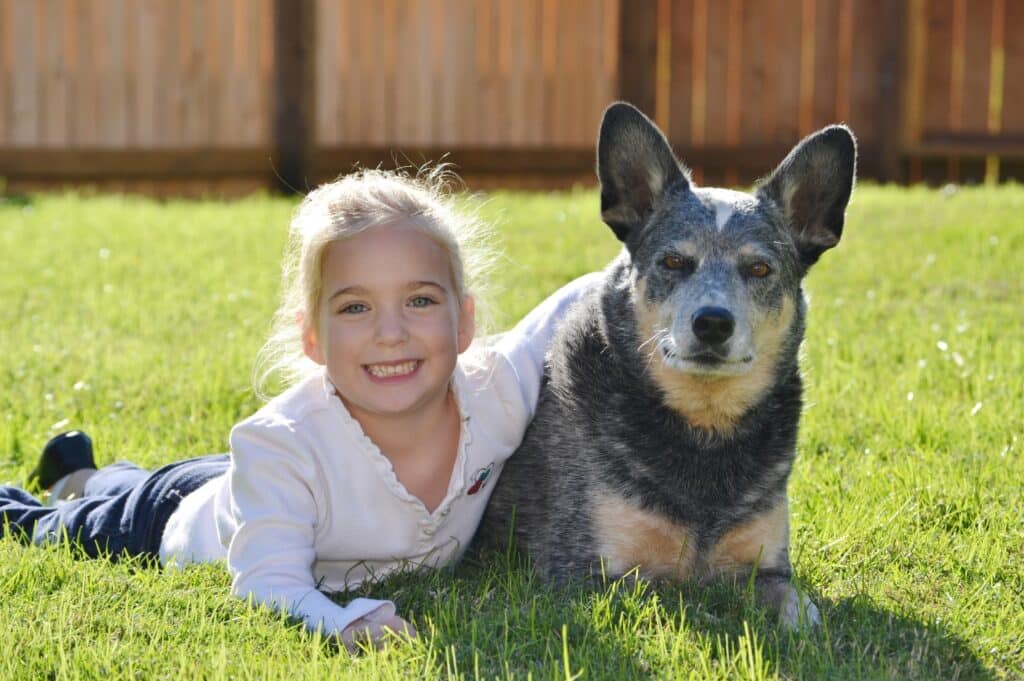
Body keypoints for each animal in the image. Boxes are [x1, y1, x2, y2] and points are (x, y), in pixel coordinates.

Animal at [479, 99, 856, 626]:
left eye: (759, 268)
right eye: (674, 262)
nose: (713, 322)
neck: (704, 430)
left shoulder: (768, 569)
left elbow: (801, 612)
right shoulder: (586, 576)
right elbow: (673, 601)